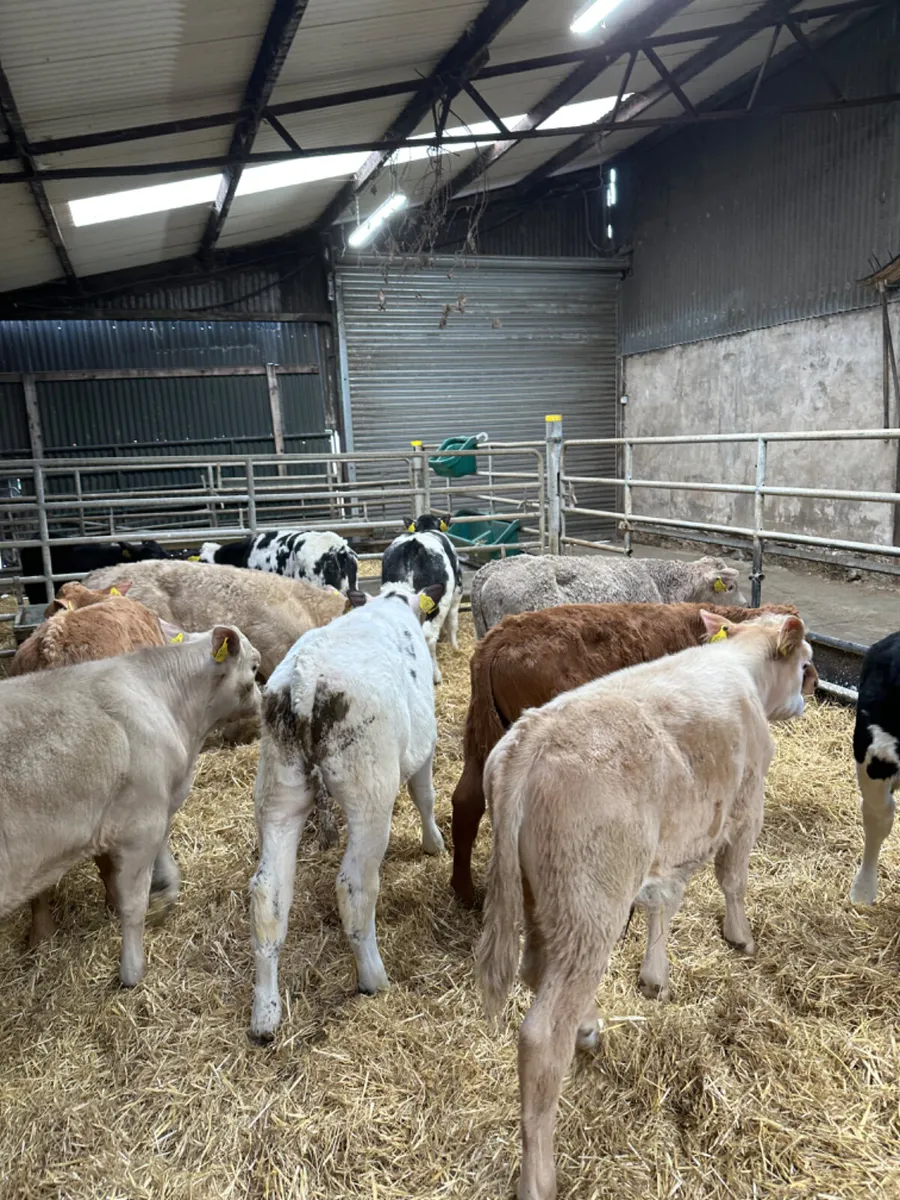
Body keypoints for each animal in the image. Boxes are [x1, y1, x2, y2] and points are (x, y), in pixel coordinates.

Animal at [0, 625, 261, 986]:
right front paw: (132, 970)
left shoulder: (155, 808)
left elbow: (163, 859)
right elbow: (133, 902)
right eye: (254, 666)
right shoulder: (141, 822)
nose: (264, 697)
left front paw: (167, 892)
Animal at [248, 581, 446, 1043]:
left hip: (279, 793)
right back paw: (373, 977)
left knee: (268, 893)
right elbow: (425, 796)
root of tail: (305, 678)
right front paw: (434, 843)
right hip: (369, 797)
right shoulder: (423, 749)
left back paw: (265, 1014)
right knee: (354, 888)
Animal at [381, 514, 462, 685]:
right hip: (440, 601)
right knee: (429, 635)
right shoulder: (457, 591)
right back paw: (436, 676)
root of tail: (414, 545)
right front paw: (455, 647)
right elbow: (453, 622)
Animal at [450, 601, 808, 907]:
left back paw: (464, 892)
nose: (814, 685)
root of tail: (501, 635)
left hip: (481, 735)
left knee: (466, 802)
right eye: (803, 662)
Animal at [475, 611, 813, 1200]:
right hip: (591, 907)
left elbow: (664, 903)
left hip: (550, 899)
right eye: (805, 662)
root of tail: (531, 736)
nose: (811, 689)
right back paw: (539, 1176)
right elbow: (733, 879)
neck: (738, 668)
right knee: (542, 1035)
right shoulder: (745, 807)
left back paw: (588, 1024)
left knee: (540, 973)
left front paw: (655, 974)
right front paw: (740, 936)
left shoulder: (674, 843)